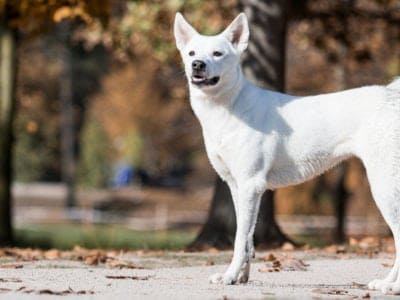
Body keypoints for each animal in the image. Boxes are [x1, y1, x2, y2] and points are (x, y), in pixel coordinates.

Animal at [174, 12, 400, 292]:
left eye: (218, 53)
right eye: (192, 52)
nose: (197, 65)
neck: (231, 105)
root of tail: (392, 96)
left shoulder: (250, 185)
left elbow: (239, 239)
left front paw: (229, 276)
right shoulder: (238, 187)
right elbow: (247, 238)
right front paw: (240, 277)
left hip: (384, 188)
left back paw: (392, 286)